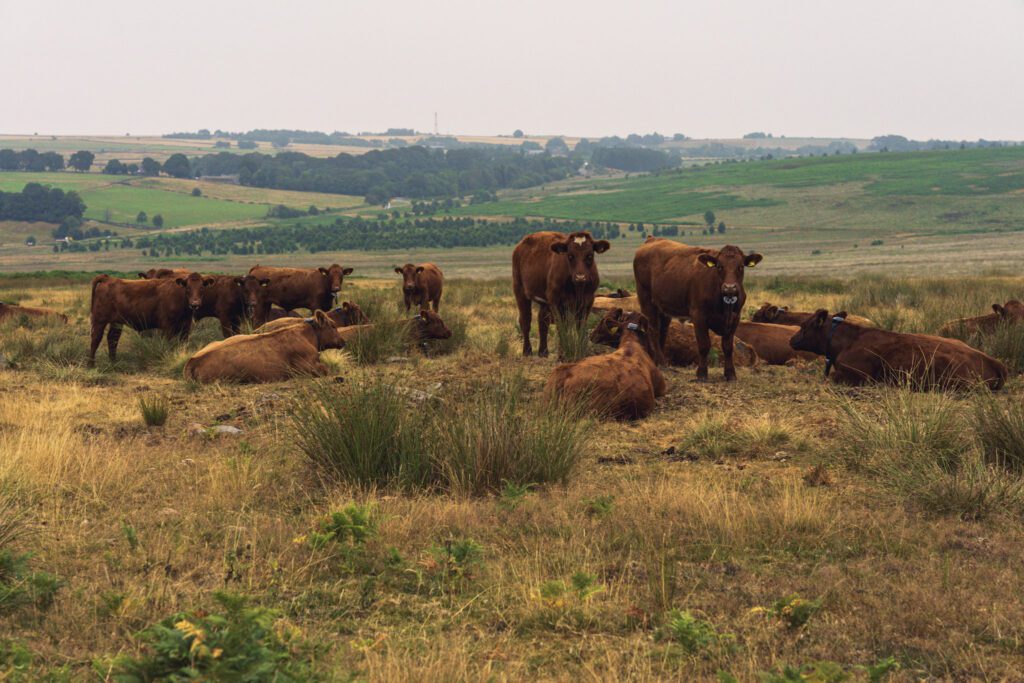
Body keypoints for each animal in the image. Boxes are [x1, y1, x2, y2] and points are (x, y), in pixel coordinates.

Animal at [183, 310, 344, 383]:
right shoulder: (307, 367)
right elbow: (325, 369)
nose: (343, 341)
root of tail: (192, 361)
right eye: (333, 326)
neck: (307, 334)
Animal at [634, 237, 762, 381]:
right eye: (719, 266)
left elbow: (728, 346)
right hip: (646, 300)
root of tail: (652, 239)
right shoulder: (699, 316)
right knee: (653, 330)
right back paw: (661, 362)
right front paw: (702, 373)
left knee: (663, 331)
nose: (729, 288)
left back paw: (658, 361)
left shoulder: (735, 318)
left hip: (663, 307)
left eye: (740, 267)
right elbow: (704, 344)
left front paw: (730, 373)